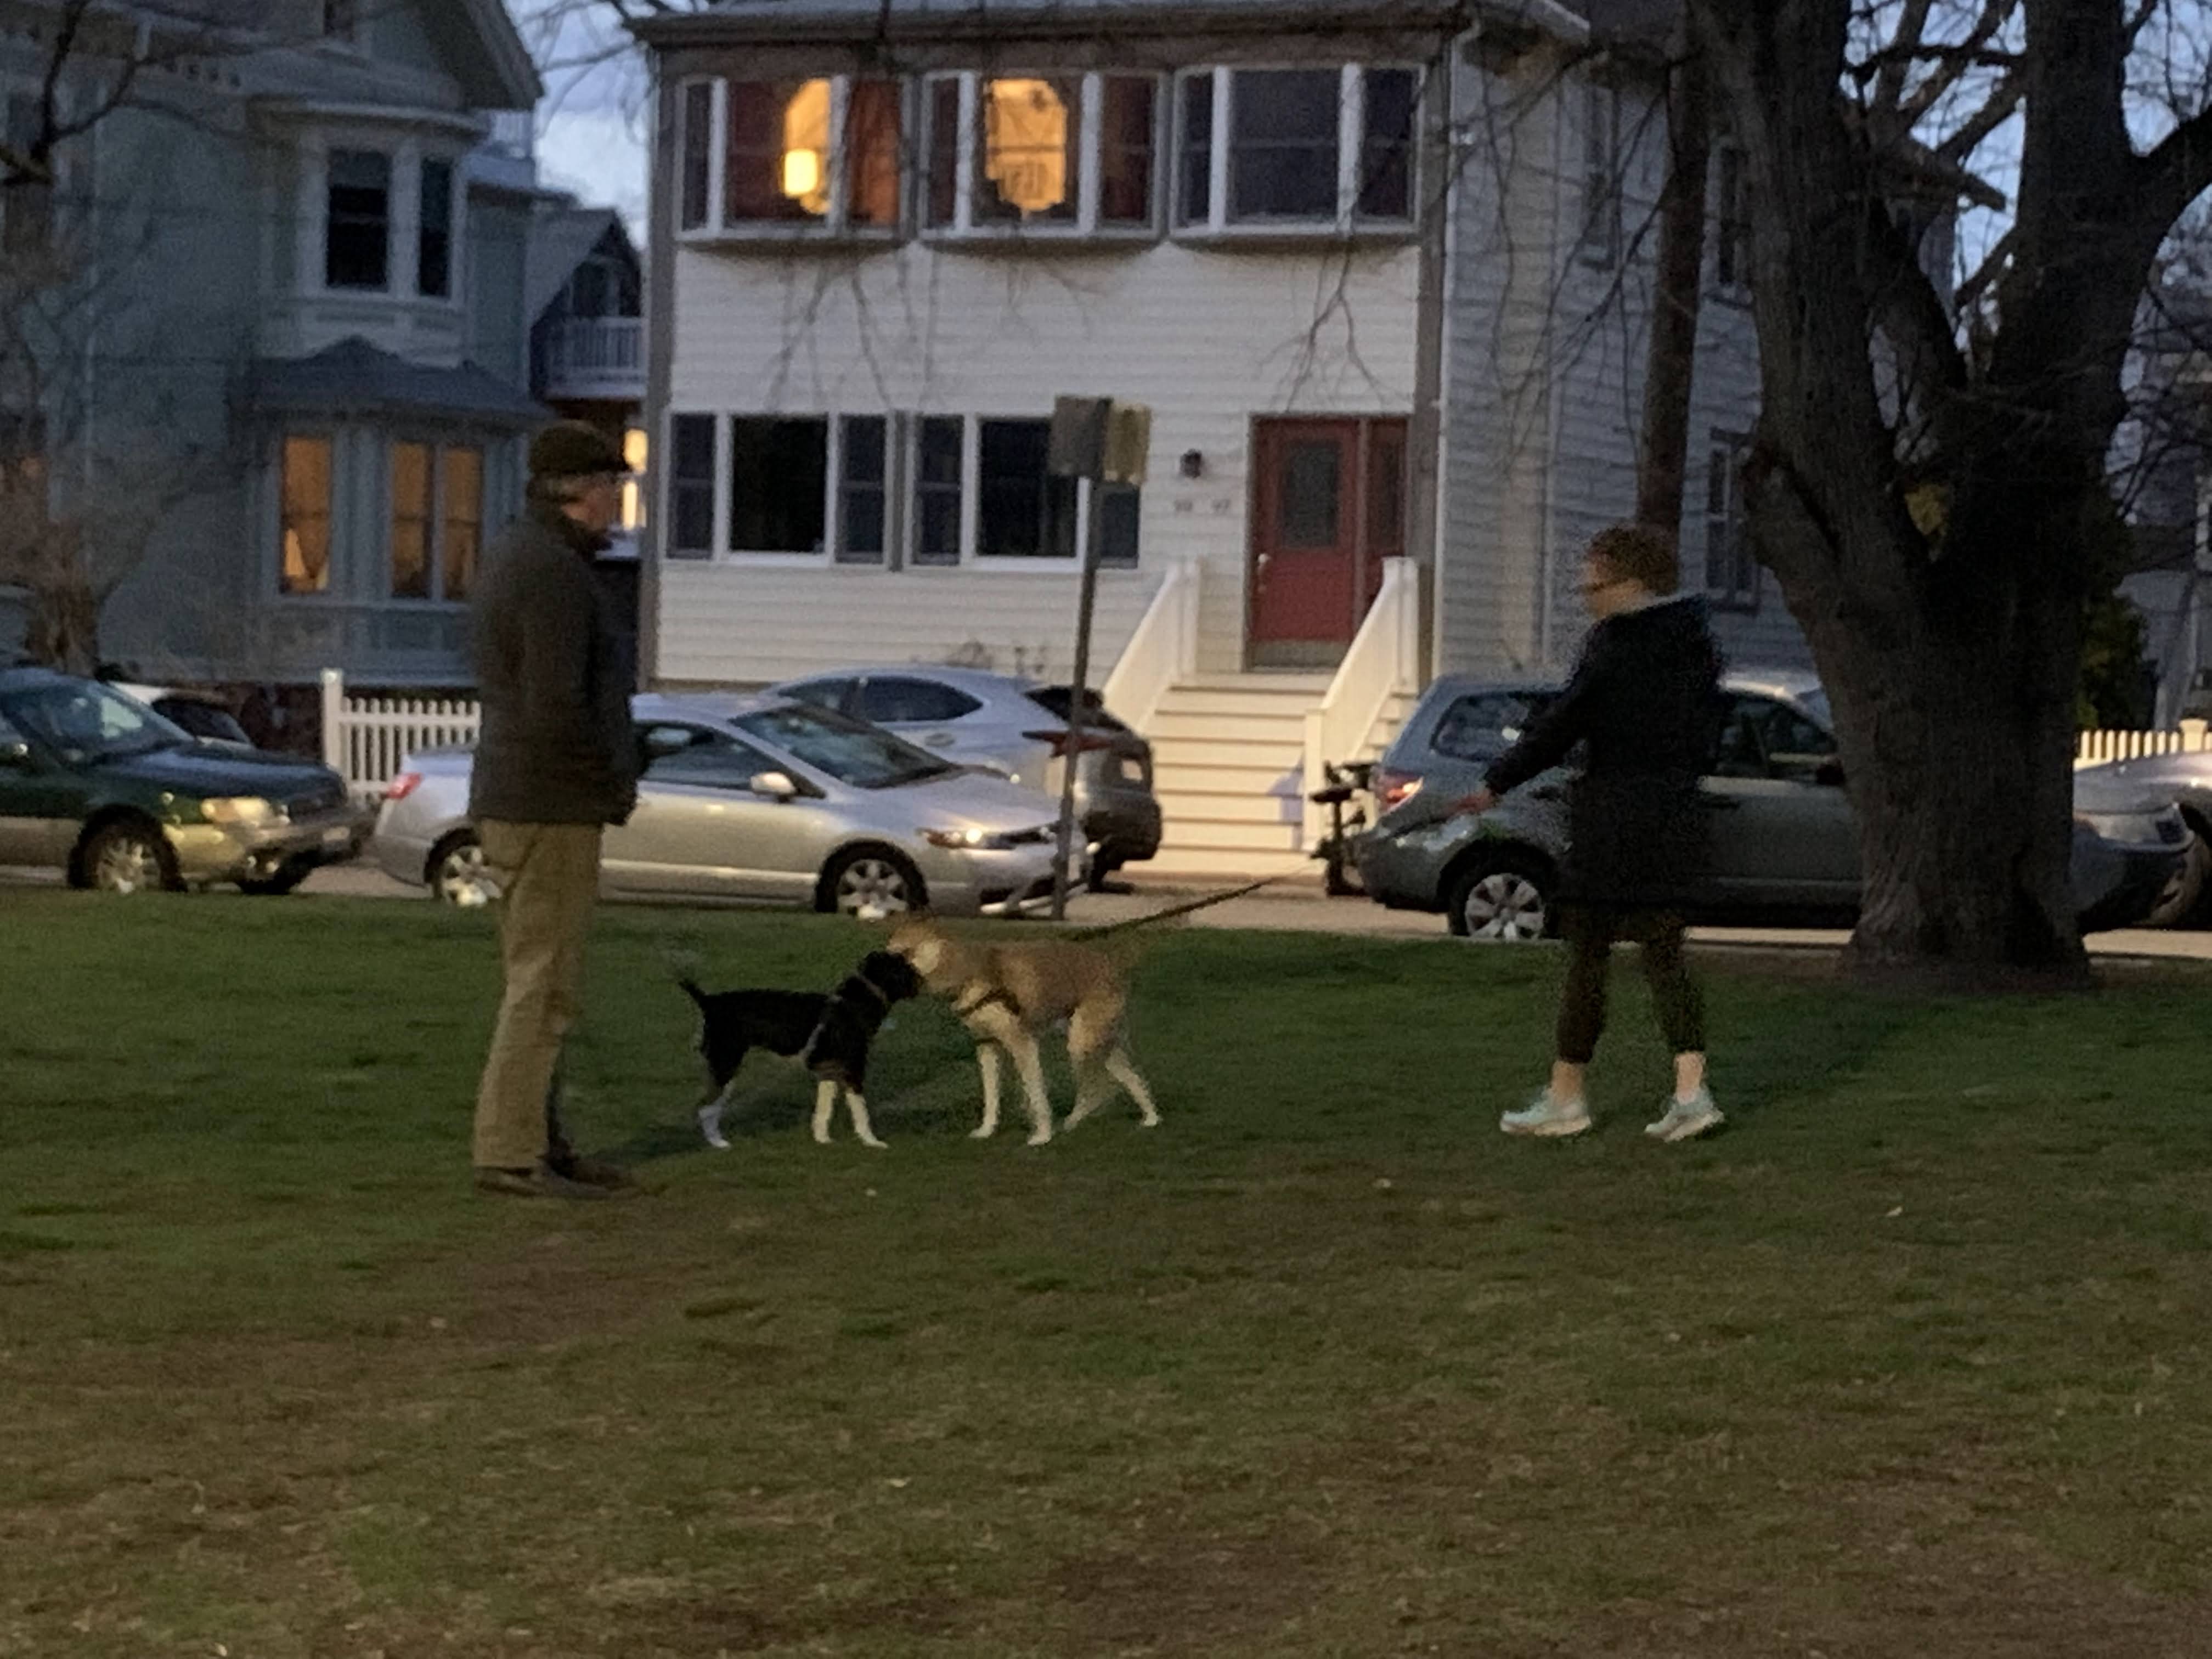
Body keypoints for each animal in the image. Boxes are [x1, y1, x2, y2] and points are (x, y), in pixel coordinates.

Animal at [672, 955, 916, 1150]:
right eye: (903, 968)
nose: (920, 980)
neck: (852, 1006)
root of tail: (708, 1001)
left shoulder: (828, 1072)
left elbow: (823, 1110)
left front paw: (823, 1140)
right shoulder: (853, 1070)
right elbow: (861, 1111)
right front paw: (872, 1142)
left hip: (724, 1067)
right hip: (726, 1065)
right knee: (706, 1108)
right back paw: (718, 1143)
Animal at [884, 916, 1167, 1150]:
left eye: (903, 953)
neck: (967, 970)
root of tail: (1113, 970)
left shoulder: (1023, 1044)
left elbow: (1036, 1093)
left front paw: (1042, 1136)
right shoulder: (987, 1046)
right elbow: (991, 1097)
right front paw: (986, 1131)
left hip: (1080, 1044)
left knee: (1096, 1090)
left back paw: (1072, 1121)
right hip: (1101, 1046)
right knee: (1131, 1080)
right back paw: (1151, 1119)